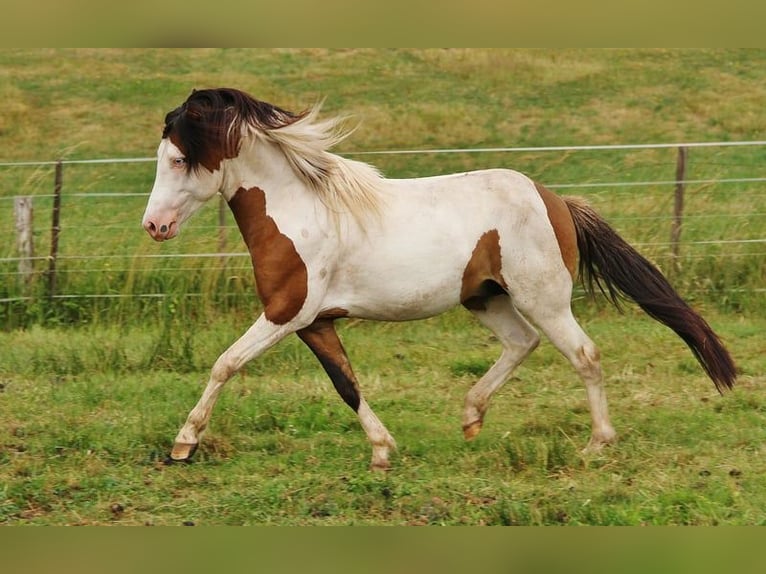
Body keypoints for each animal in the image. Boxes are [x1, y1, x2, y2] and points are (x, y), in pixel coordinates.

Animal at [142, 88, 736, 470]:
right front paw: (383, 451)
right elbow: (346, 384)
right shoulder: (315, 322)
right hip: (486, 299)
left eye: (178, 159)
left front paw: (183, 443)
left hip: (543, 298)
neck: (299, 210)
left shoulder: (287, 312)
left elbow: (225, 364)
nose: (154, 226)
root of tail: (555, 200)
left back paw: (597, 444)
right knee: (522, 343)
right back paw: (472, 417)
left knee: (583, 355)